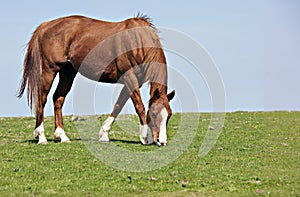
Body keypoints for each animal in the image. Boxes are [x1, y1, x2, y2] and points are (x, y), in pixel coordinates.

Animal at [17, 14, 175, 145]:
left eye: (169, 115)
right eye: (153, 114)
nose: (161, 141)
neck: (137, 40)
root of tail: (46, 25)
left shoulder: (133, 81)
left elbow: (118, 105)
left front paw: (104, 134)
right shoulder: (129, 77)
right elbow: (140, 107)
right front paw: (145, 137)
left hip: (67, 72)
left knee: (58, 98)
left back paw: (62, 136)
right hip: (50, 70)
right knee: (41, 99)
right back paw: (41, 136)